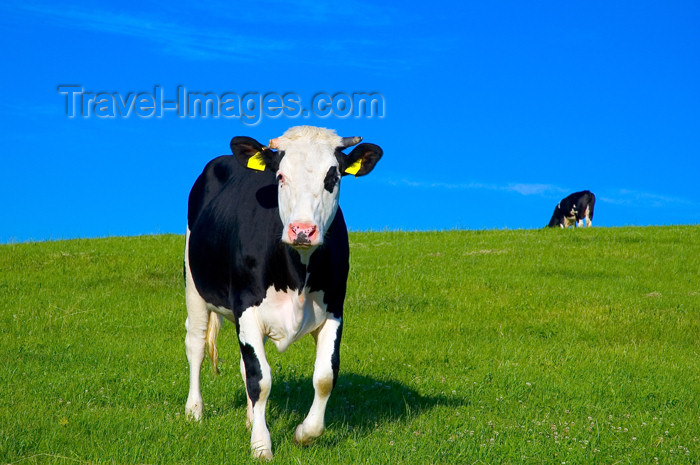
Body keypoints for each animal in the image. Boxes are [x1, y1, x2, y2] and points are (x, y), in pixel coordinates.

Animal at [183, 125, 382, 458]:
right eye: (280, 177)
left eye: (333, 177)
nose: (302, 230)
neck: (296, 273)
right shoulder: (246, 306)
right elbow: (260, 380)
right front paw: (262, 446)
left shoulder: (334, 309)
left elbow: (325, 377)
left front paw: (304, 433)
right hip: (194, 287)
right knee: (196, 344)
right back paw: (194, 411)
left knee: (243, 364)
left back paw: (250, 419)